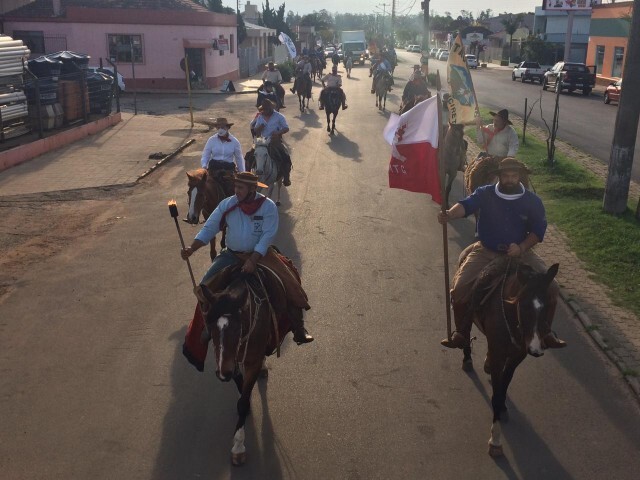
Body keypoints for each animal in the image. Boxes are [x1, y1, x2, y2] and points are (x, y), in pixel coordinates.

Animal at [200, 266, 290, 464]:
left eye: (237, 326)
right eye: (210, 325)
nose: (222, 374)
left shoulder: (251, 361)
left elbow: (242, 401)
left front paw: (238, 446)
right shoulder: (231, 361)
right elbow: (241, 387)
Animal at [460, 258, 560, 458]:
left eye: (548, 305)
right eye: (524, 305)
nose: (536, 350)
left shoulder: (517, 356)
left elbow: (505, 382)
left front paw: (503, 406)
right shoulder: (499, 355)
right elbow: (497, 395)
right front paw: (495, 440)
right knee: (465, 331)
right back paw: (467, 358)